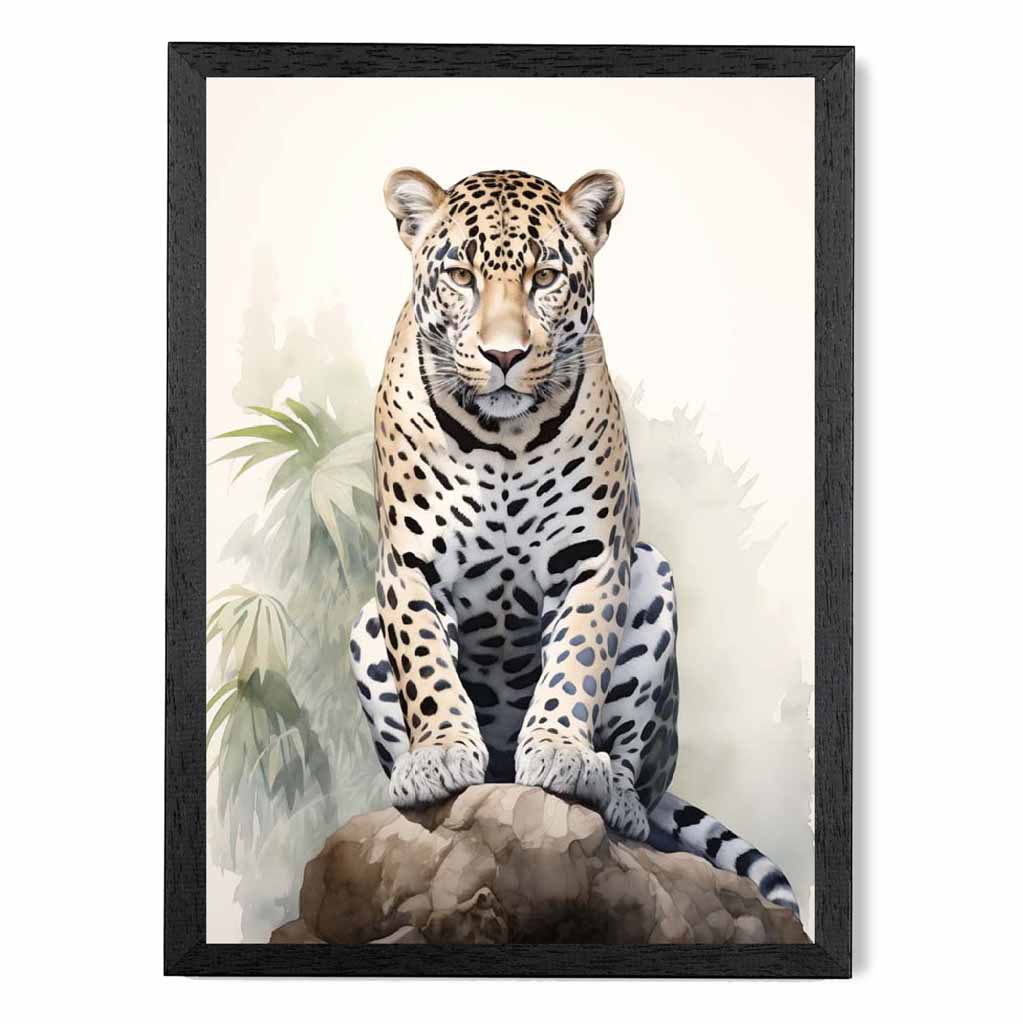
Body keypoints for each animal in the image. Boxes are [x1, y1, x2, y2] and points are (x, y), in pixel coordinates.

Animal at [348, 167, 799, 916]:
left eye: (545, 277)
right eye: (462, 275)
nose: (504, 355)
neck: (500, 439)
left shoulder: (593, 562)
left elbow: (576, 665)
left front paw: (560, 749)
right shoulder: (409, 567)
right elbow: (427, 670)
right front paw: (438, 753)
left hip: (654, 582)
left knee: (638, 778)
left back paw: (612, 792)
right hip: (362, 625)